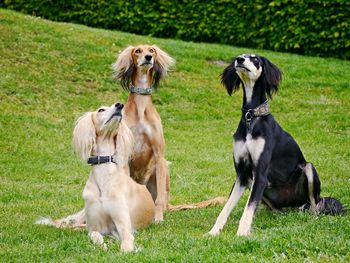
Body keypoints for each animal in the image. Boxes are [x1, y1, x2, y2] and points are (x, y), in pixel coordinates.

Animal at [74, 102, 154, 252]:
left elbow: (126, 242)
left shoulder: (124, 226)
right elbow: (94, 235)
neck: (104, 178)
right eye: (101, 110)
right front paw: (103, 246)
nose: (119, 105)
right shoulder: (94, 227)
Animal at [208, 53, 344, 237]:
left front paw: (242, 234)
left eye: (255, 59)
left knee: (315, 206)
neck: (251, 117)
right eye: (240, 56)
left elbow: (248, 208)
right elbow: (227, 207)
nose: (239, 60)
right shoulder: (242, 175)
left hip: (308, 169)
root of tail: (294, 206)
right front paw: (213, 232)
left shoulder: (260, 174)